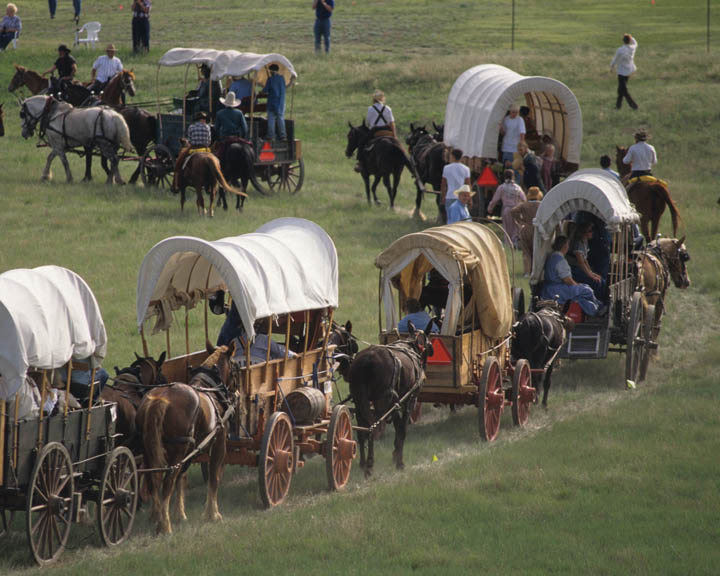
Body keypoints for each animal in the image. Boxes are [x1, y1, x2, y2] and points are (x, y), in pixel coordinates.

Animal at [136, 342, 235, 536]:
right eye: (234, 365)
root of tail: (160, 399)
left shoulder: (191, 450)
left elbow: (181, 479)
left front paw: (180, 514)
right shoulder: (219, 444)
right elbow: (214, 478)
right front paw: (213, 514)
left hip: (152, 450)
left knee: (154, 481)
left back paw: (156, 516)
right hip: (177, 451)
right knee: (167, 482)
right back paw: (164, 525)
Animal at [348, 326, 434, 480]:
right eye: (428, 342)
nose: (431, 350)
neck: (412, 347)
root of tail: (367, 361)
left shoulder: (395, 403)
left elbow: (397, 426)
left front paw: (395, 454)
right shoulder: (409, 400)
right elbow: (403, 429)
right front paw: (399, 461)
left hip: (360, 400)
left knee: (362, 431)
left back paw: (363, 463)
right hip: (381, 401)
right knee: (372, 428)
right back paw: (370, 464)